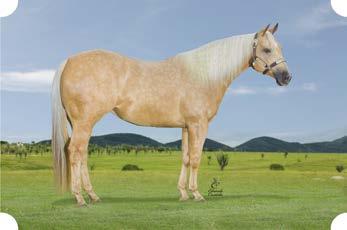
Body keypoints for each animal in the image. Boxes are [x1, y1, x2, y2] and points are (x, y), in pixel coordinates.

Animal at [51, 24, 290, 206]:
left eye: (278, 47)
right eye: (267, 49)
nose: (286, 77)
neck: (204, 75)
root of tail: (69, 61)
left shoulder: (185, 126)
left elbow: (185, 157)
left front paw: (183, 193)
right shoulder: (198, 124)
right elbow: (196, 158)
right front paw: (197, 194)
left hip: (82, 124)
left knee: (82, 154)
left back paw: (93, 195)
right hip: (84, 122)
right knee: (75, 153)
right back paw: (80, 198)